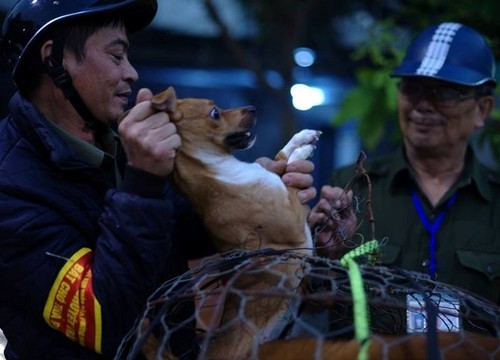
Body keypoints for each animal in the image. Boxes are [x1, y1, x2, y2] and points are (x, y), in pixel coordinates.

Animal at [149, 86, 320, 358]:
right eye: (215, 112)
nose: (253, 107)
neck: (219, 172)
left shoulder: (273, 173)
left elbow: (280, 157)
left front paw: (302, 138)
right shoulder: (293, 216)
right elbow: (290, 171)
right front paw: (303, 151)